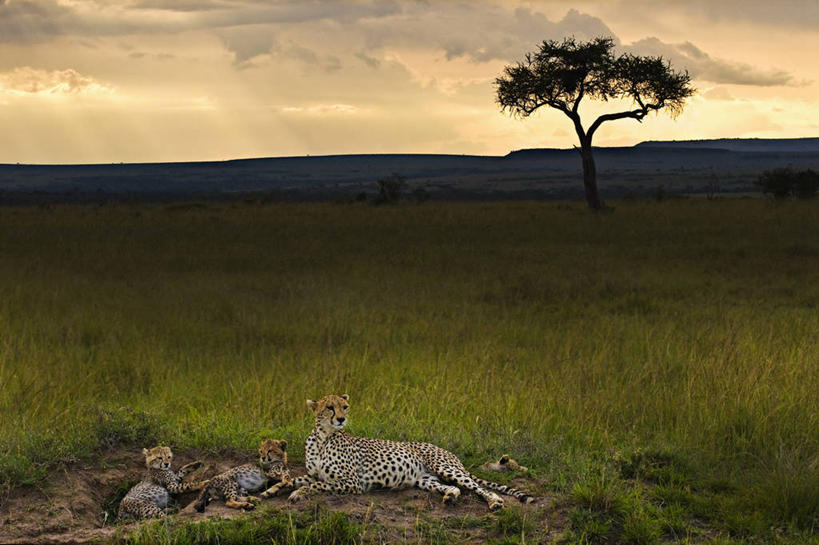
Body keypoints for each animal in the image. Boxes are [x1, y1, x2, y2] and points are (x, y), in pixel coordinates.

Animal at [282, 394, 540, 508]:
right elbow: (297, 479)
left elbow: (316, 485)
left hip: (445, 467)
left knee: (479, 487)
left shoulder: (352, 483)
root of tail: (445, 450)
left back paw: (494, 501)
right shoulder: (315, 473)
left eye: (345, 406)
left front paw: (297, 494)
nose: (342, 419)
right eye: (329, 407)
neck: (322, 438)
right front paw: (281, 487)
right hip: (425, 479)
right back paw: (450, 496)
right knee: (455, 488)